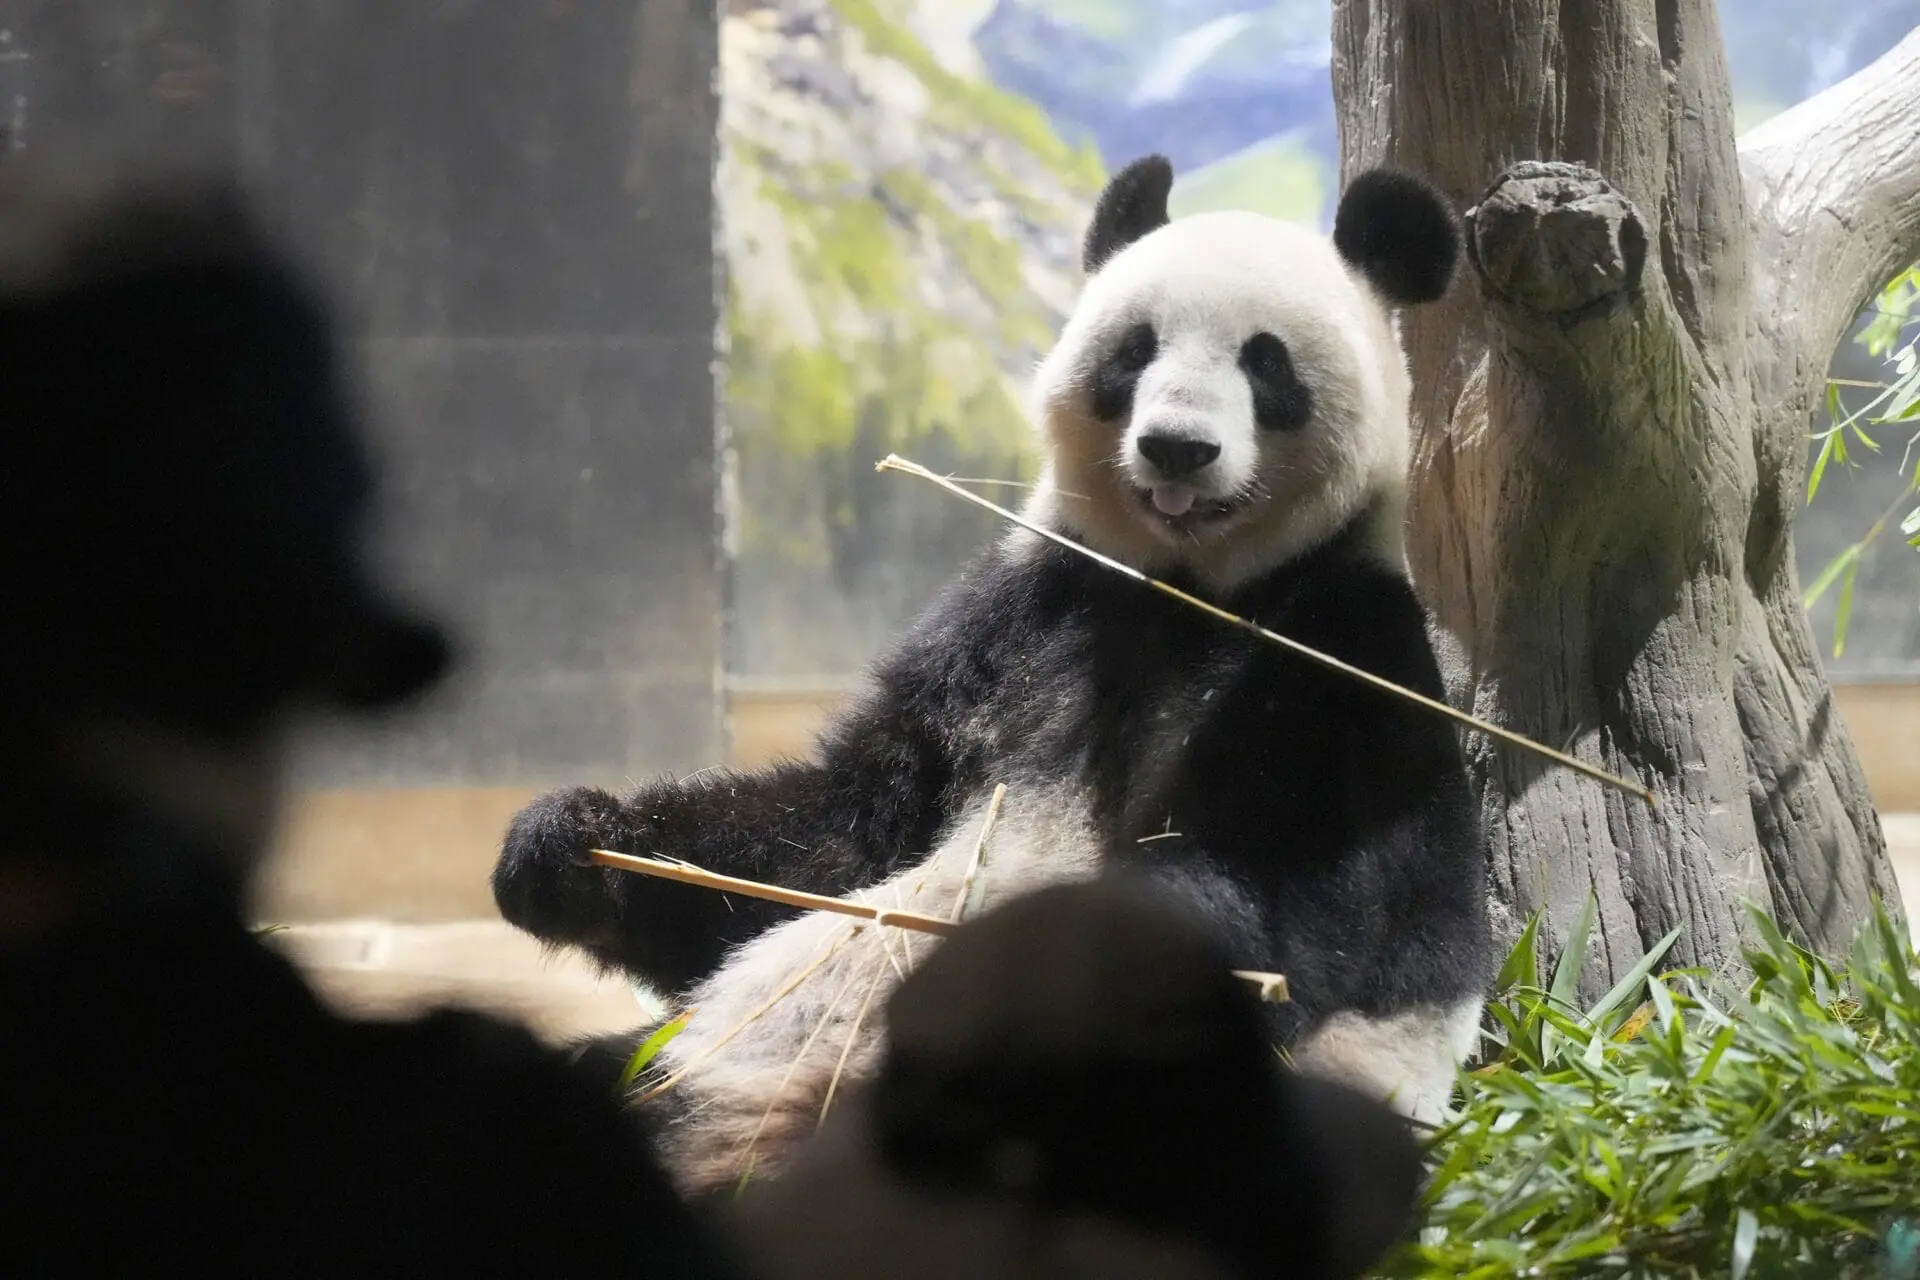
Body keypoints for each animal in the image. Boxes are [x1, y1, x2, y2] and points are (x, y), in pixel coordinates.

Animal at [487, 150, 1489, 1205]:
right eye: (1135, 350)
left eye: (1267, 363)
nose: (1177, 446)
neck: (1188, 589)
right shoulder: (1017, 624)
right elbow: (829, 843)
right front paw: (568, 844)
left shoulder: (1341, 662)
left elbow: (1292, 913)